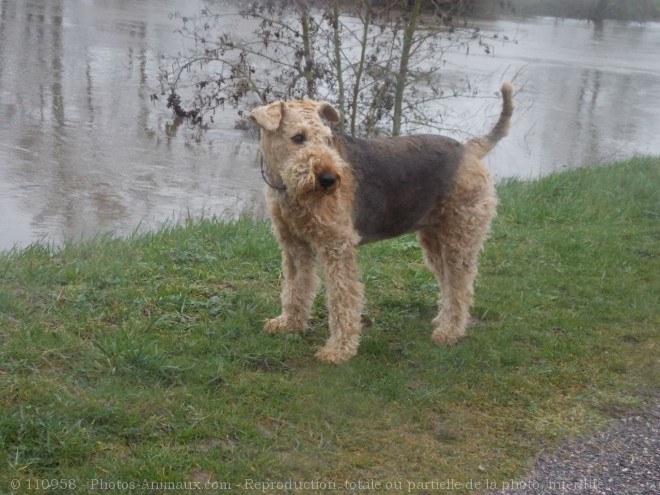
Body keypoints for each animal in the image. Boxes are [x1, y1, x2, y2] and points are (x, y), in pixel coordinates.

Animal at [250, 82, 512, 364]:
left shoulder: (337, 247)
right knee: (448, 284)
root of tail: (469, 149)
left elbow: (342, 299)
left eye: (327, 138)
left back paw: (449, 332)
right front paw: (289, 323)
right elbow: (295, 288)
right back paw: (443, 321)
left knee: (461, 287)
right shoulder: (294, 246)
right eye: (298, 137)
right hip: (434, 240)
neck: (288, 189)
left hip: (460, 237)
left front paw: (339, 350)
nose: (329, 179)